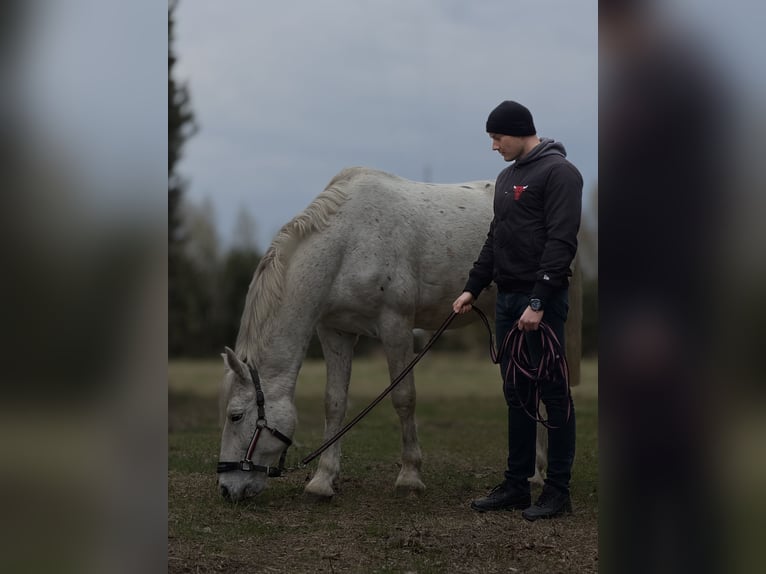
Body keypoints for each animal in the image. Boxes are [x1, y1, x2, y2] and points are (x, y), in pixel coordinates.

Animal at [217, 166, 574, 502]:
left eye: (235, 416)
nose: (225, 488)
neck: (347, 244)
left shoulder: (396, 327)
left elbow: (404, 399)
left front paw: (409, 477)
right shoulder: (335, 332)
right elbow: (334, 402)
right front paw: (322, 481)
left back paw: (537, 475)